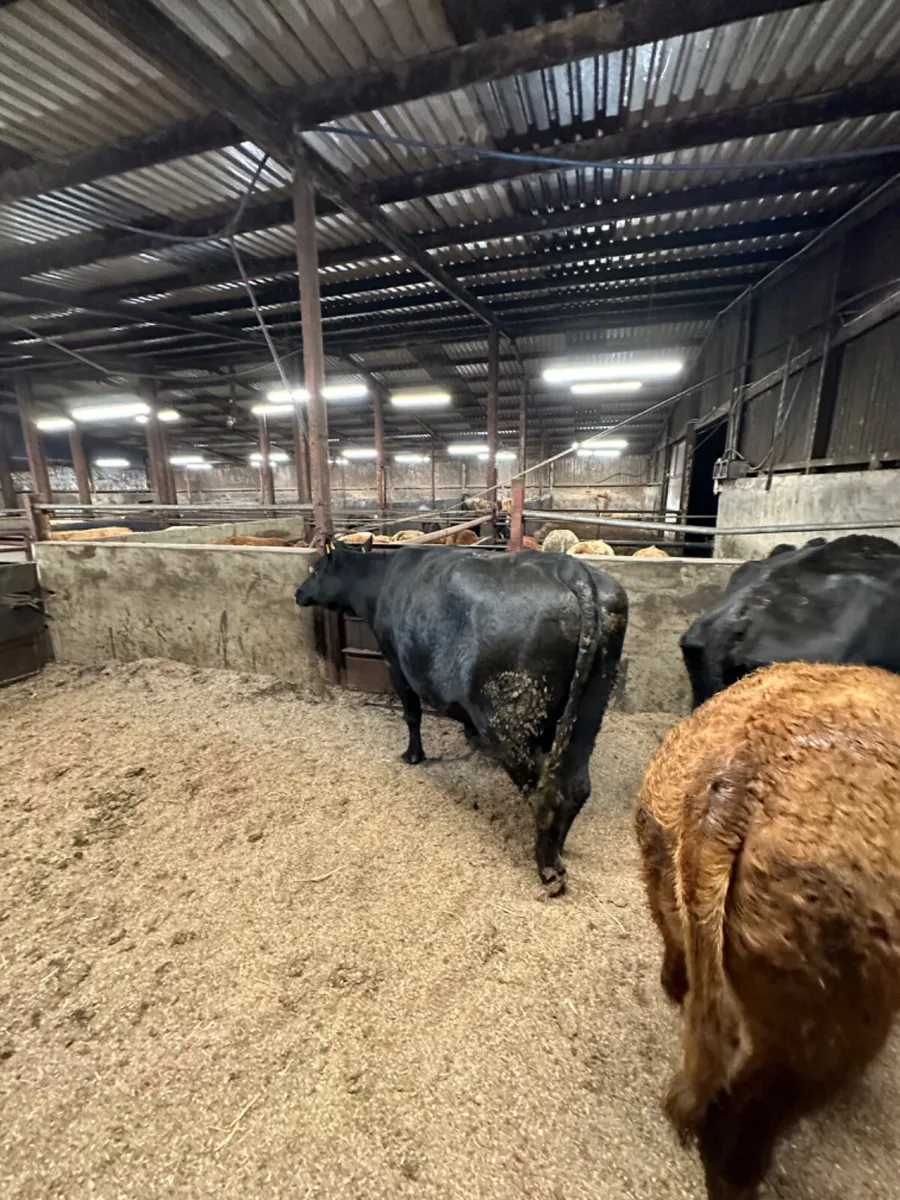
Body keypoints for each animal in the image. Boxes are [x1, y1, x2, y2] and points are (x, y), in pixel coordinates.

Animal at [295, 538, 628, 892]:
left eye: (315, 570)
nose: (298, 593)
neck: (381, 579)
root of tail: (573, 570)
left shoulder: (395, 664)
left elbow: (411, 714)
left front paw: (413, 755)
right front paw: (469, 737)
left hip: (509, 720)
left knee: (544, 793)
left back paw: (549, 868)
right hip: (589, 712)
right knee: (576, 787)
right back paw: (559, 846)